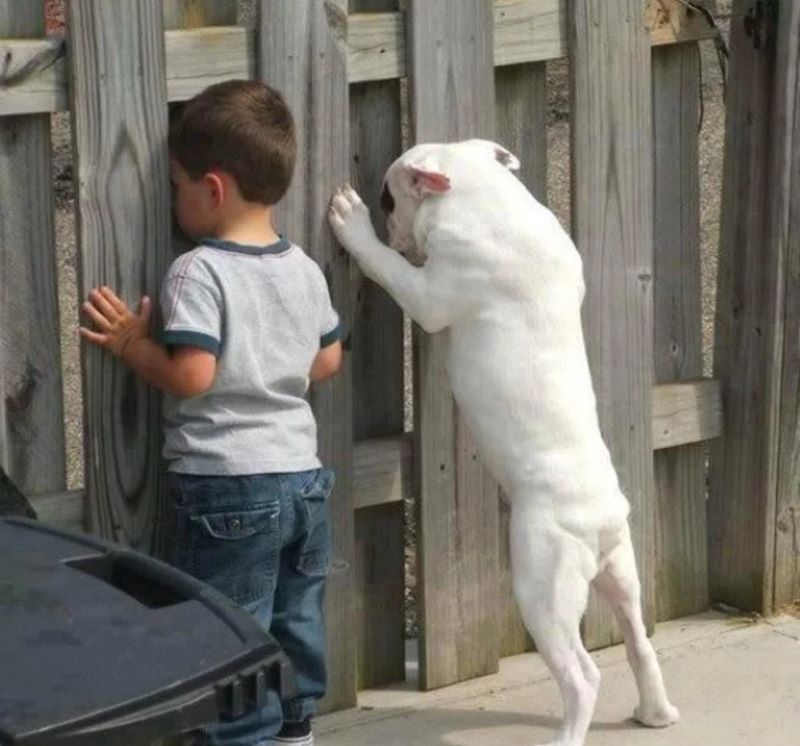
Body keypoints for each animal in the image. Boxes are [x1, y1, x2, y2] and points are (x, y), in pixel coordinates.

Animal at [328, 140, 680, 744]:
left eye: (387, 198)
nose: (390, 222)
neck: (484, 196)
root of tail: (600, 518)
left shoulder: (428, 295)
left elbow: (389, 268)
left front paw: (355, 226)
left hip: (543, 590)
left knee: (582, 675)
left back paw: (568, 734)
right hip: (622, 572)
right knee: (639, 641)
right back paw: (655, 713)